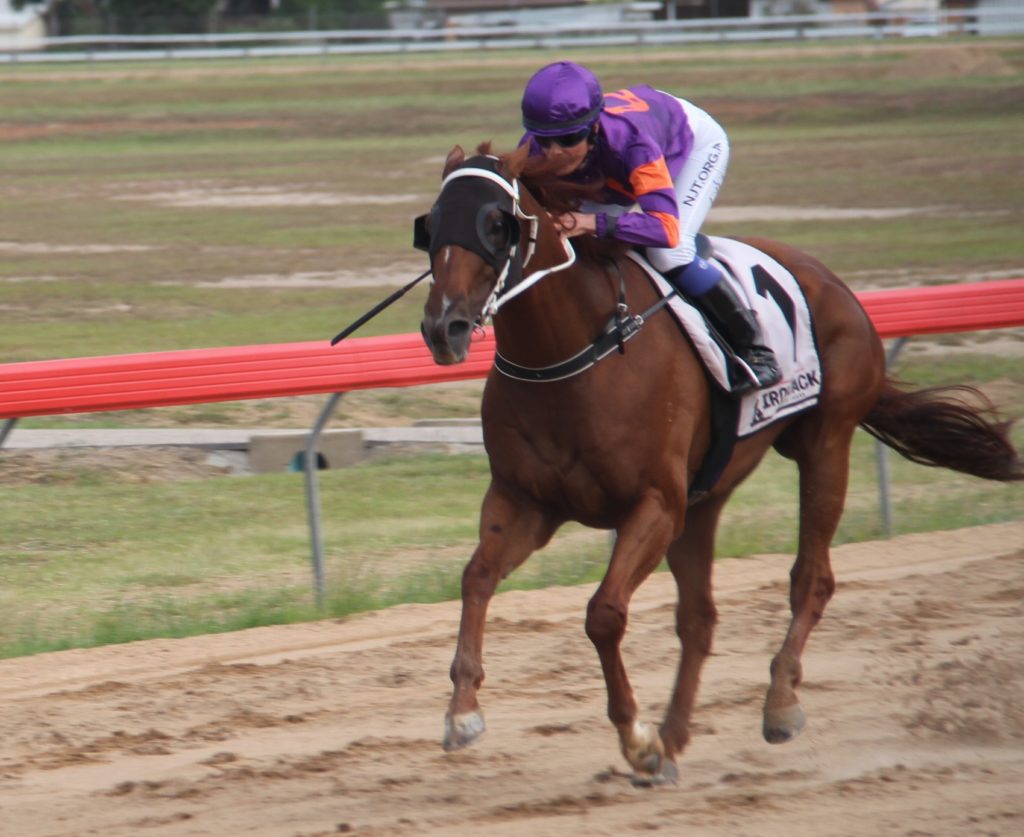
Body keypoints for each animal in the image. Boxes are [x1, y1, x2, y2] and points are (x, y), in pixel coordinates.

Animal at [415, 145, 1024, 782]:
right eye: (430, 225)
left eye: (496, 224)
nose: (444, 327)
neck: (571, 354)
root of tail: (834, 283)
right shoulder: (526, 499)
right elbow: (476, 578)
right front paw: (463, 712)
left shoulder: (654, 504)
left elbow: (603, 613)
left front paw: (637, 738)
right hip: (707, 495)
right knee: (699, 617)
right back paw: (675, 736)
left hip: (825, 443)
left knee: (811, 579)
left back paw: (778, 704)